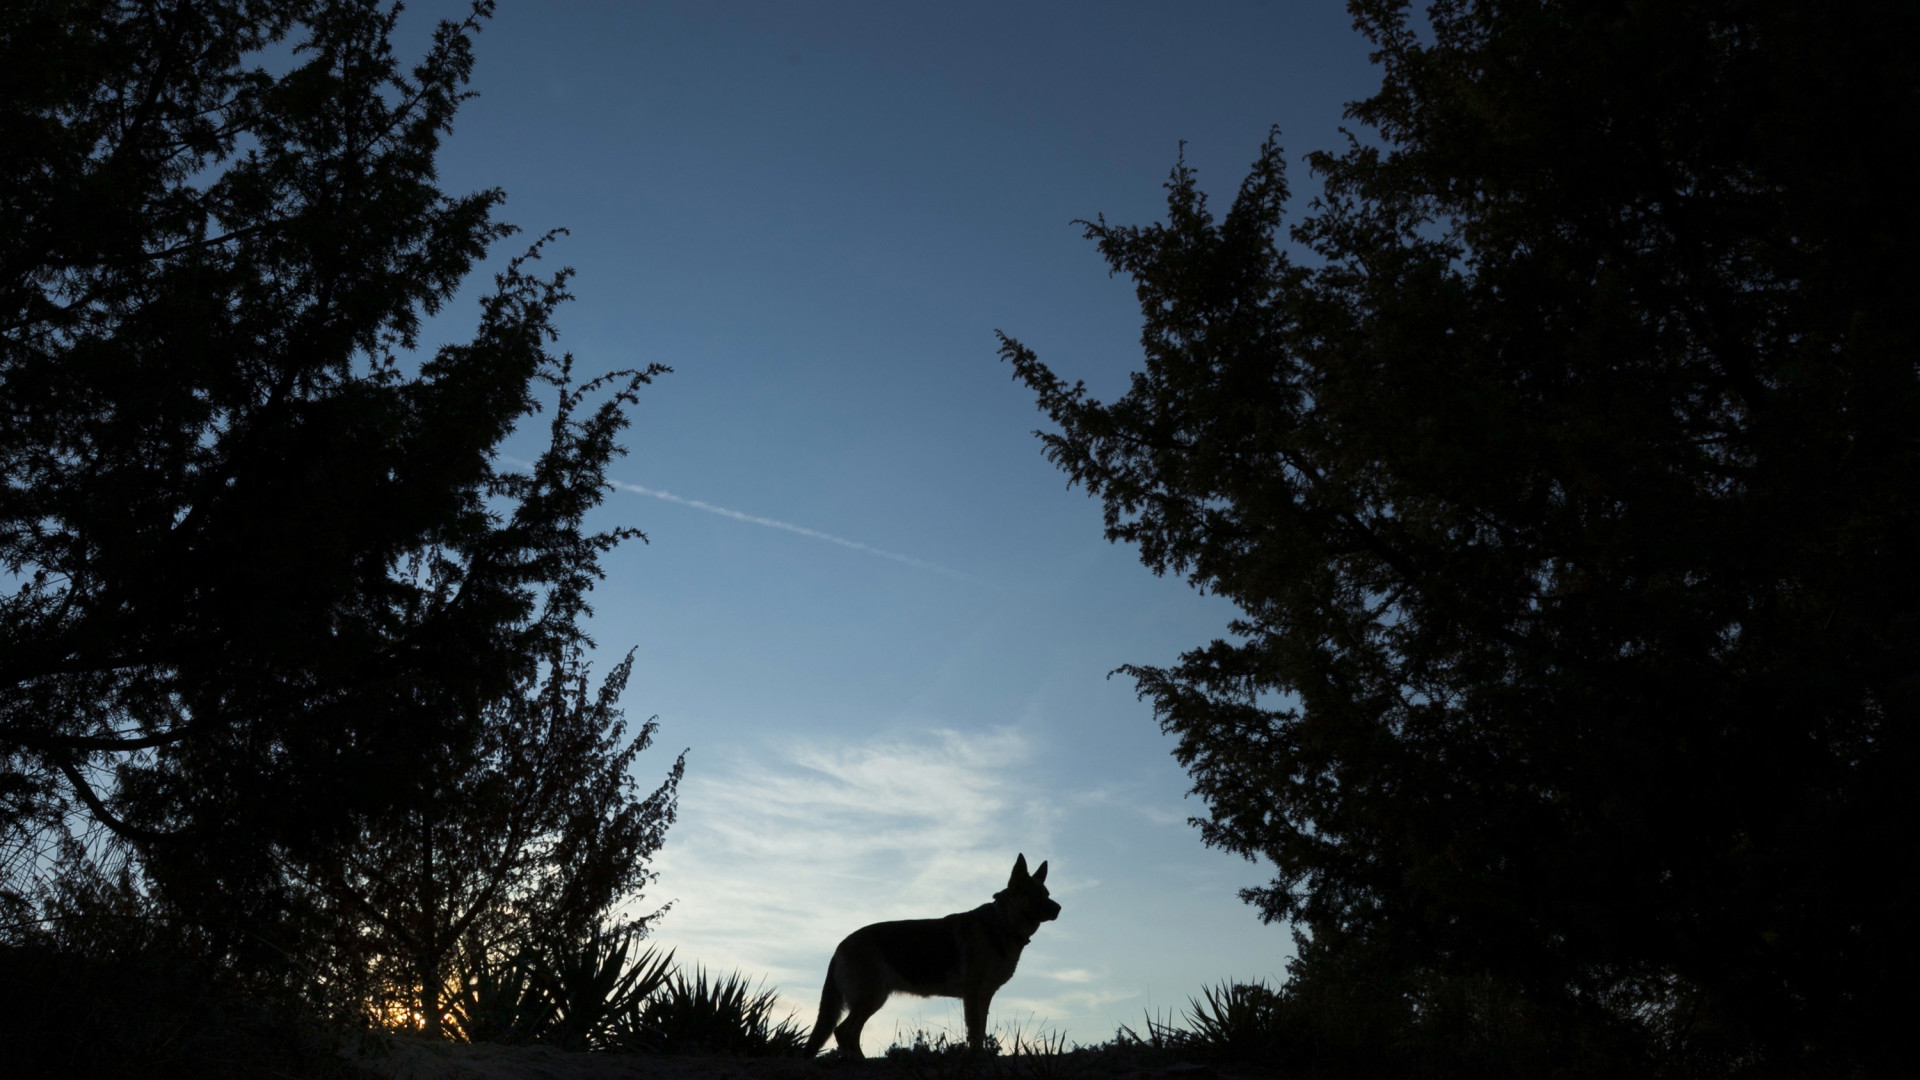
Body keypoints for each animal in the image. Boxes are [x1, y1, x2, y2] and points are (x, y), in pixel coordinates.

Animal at [805, 854, 1061, 1057]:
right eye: (1035, 894)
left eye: (1047, 893)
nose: (1059, 909)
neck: (1002, 923)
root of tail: (840, 946)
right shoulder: (972, 994)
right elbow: (975, 1033)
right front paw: (976, 1058)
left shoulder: (984, 996)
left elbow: (980, 1032)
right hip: (871, 996)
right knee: (843, 1031)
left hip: (874, 998)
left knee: (848, 1032)